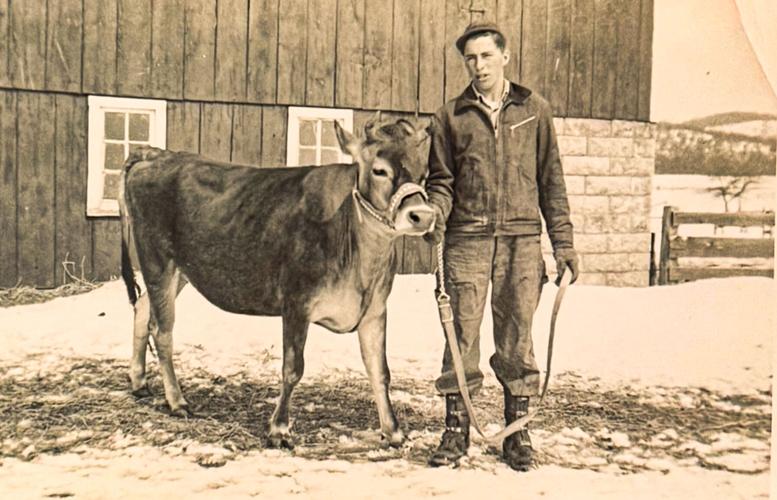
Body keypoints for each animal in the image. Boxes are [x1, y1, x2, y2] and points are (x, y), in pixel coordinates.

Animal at [118, 116, 434, 449]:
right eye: (379, 170)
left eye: (423, 173)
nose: (422, 215)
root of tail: (157, 154)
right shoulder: (297, 302)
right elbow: (293, 368)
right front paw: (279, 429)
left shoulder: (375, 309)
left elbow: (380, 370)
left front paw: (393, 430)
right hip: (158, 259)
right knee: (162, 330)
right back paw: (177, 401)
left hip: (180, 270)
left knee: (142, 308)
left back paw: (139, 382)